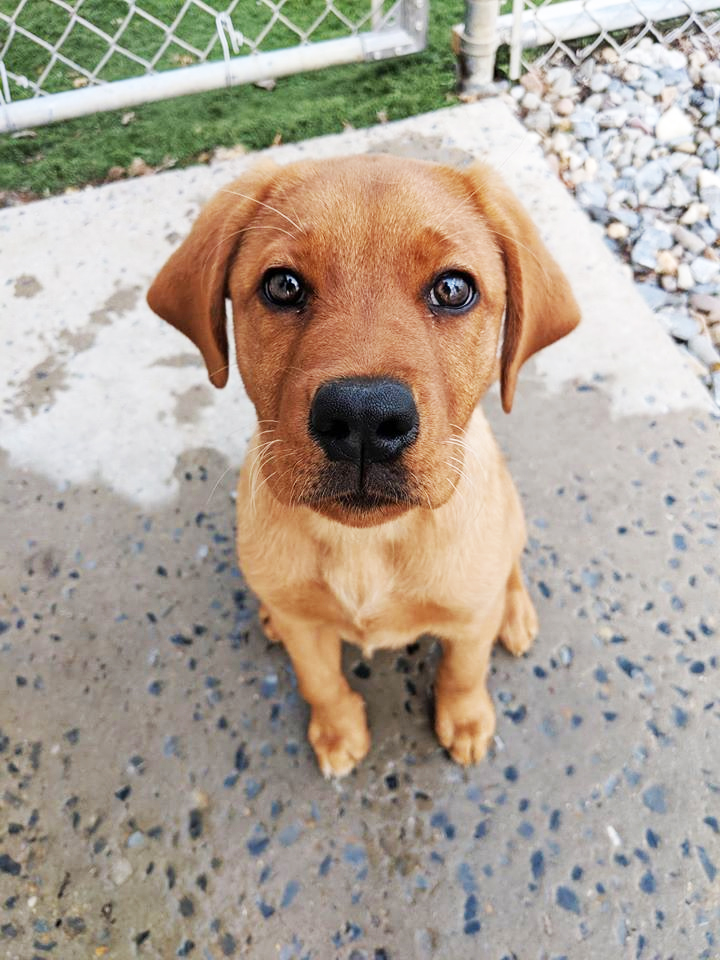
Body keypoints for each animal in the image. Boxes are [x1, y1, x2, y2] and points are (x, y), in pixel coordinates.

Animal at [148, 154, 580, 776]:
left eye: (453, 289)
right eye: (283, 285)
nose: (363, 418)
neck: (367, 545)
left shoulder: (468, 618)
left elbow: (464, 669)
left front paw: (466, 720)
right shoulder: (307, 630)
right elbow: (318, 679)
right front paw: (336, 730)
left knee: (510, 564)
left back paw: (514, 612)